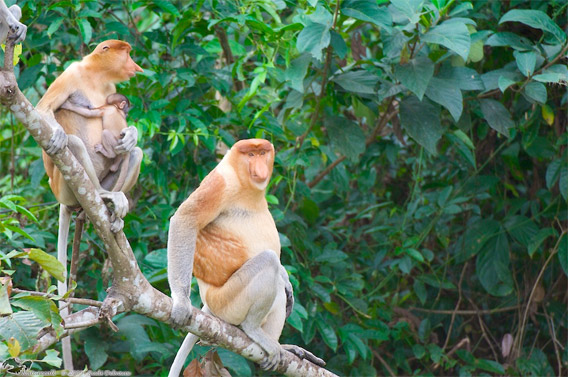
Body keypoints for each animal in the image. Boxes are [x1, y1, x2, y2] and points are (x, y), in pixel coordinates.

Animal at [35, 39, 143, 370]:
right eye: (127, 53)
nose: (135, 65)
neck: (95, 76)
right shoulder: (71, 75)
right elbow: (48, 109)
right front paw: (57, 131)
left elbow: (128, 139)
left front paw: (131, 133)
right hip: (64, 187)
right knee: (75, 144)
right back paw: (101, 196)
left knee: (135, 154)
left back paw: (114, 210)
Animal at [168, 139, 324, 376]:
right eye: (250, 155)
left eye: (262, 153)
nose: (259, 167)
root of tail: (209, 305)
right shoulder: (220, 184)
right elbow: (185, 220)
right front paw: (181, 302)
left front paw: (288, 282)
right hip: (227, 302)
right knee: (269, 262)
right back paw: (253, 330)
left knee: (279, 288)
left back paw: (281, 346)